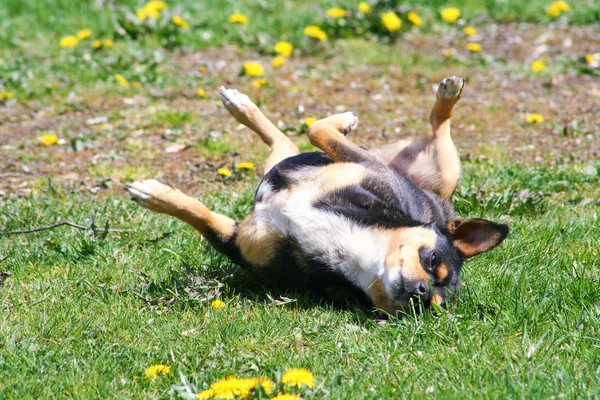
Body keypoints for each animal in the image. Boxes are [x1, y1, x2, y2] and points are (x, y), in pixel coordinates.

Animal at [125, 76, 506, 314]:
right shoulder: (362, 165)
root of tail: (443, 208)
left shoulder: (235, 239)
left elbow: (200, 215)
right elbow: (316, 129)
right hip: (443, 167)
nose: (421, 293)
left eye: (431, 308)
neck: (350, 248)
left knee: (284, 145)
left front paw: (151, 194)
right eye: (433, 261)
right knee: (437, 124)